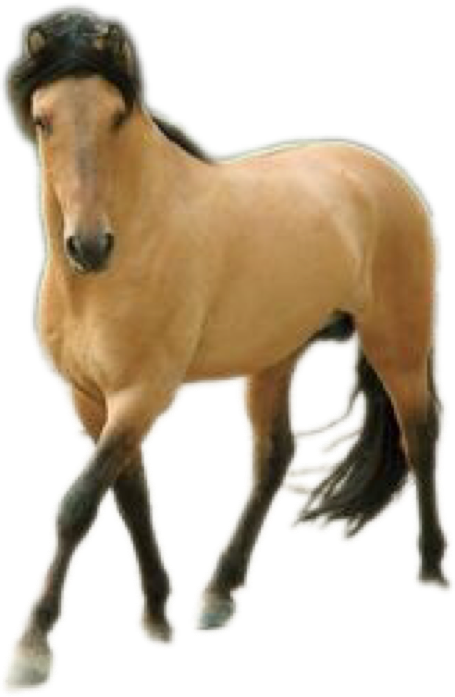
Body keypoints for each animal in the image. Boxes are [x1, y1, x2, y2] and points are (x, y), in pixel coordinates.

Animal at [1, 7, 450, 693]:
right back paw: (218, 594)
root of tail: (383, 174)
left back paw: (429, 569)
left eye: (115, 115)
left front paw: (30, 648)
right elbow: (130, 498)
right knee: (272, 458)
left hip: (395, 338)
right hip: (274, 356)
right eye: (46, 117)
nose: (90, 246)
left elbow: (77, 504)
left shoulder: (143, 394)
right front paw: (158, 616)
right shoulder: (88, 400)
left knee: (420, 434)